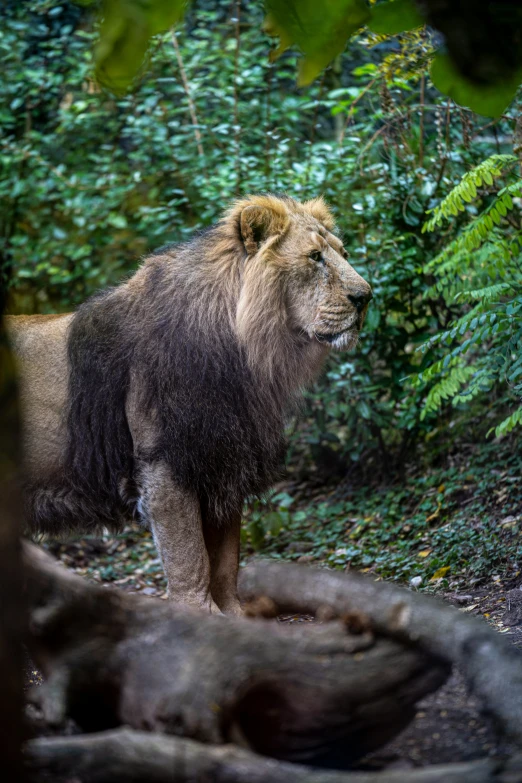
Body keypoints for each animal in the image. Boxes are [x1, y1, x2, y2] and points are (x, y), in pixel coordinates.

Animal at [7, 194, 370, 612]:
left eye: (343, 253)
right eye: (314, 257)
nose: (366, 296)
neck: (243, 357)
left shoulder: (223, 459)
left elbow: (226, 559)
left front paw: (233, 617)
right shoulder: (164, 463)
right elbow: (190, 557)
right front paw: (198, 614)